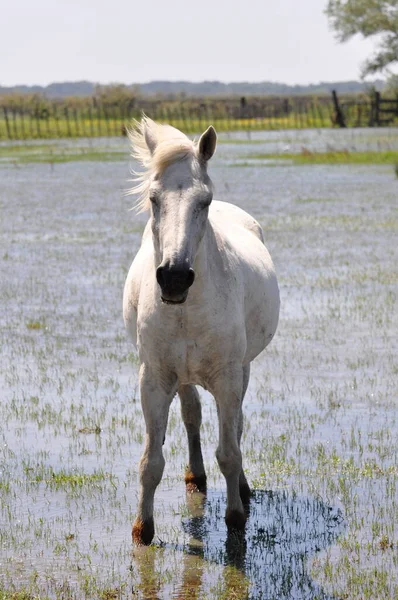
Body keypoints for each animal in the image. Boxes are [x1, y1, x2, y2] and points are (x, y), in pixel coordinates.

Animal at [123, 117, 280, 544]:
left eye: (204, 201)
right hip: (183, 376)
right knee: (192, 416)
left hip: (242, 369)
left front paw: (236, 517)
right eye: (154, 199)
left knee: (235, 426)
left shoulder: (228, 377)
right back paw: (195, 476)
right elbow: (150, 461)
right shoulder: (155, 378)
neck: (187, 310)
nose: (175, 277)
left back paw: (241, 487)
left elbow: (229, 450)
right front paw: (143, 530)